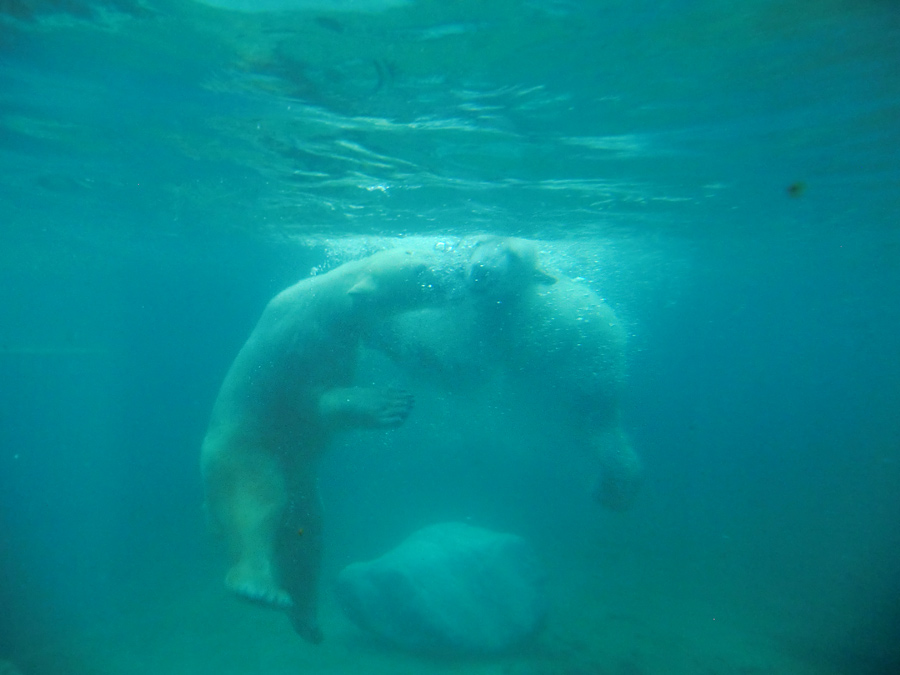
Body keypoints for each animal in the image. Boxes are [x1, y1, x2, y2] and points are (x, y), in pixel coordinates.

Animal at [200, 250, 446, 644]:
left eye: (420, 256)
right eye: (419, 269)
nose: (452, 276)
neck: (328, 301)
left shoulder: (348, 338)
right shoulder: (298, 348)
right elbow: (315, 405)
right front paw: (391, 403)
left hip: (301, 480)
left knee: (308, 531)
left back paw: (306, 619)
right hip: (243, 454)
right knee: (258, 504)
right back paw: (256, 586)